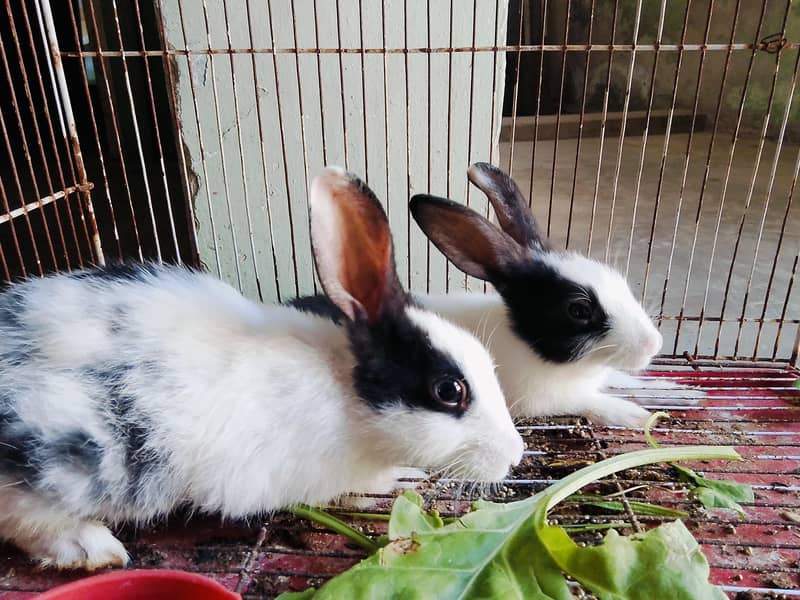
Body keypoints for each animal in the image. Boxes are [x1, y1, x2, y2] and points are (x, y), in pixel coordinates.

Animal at [0, 167, 524, 570]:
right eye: (449, 391)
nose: (516, 454)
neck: (345, 391)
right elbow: (351, 491)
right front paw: (395, 482)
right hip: (82, 457)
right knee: (24, 515)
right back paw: (92, 548)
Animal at [405, 162, 704, 428]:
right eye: (579, 310)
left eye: (618, 280)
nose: (653, 344)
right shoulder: (540, 401)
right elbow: (589, 400)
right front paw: (633, 415)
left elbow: (628, 381)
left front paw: (685, 392)